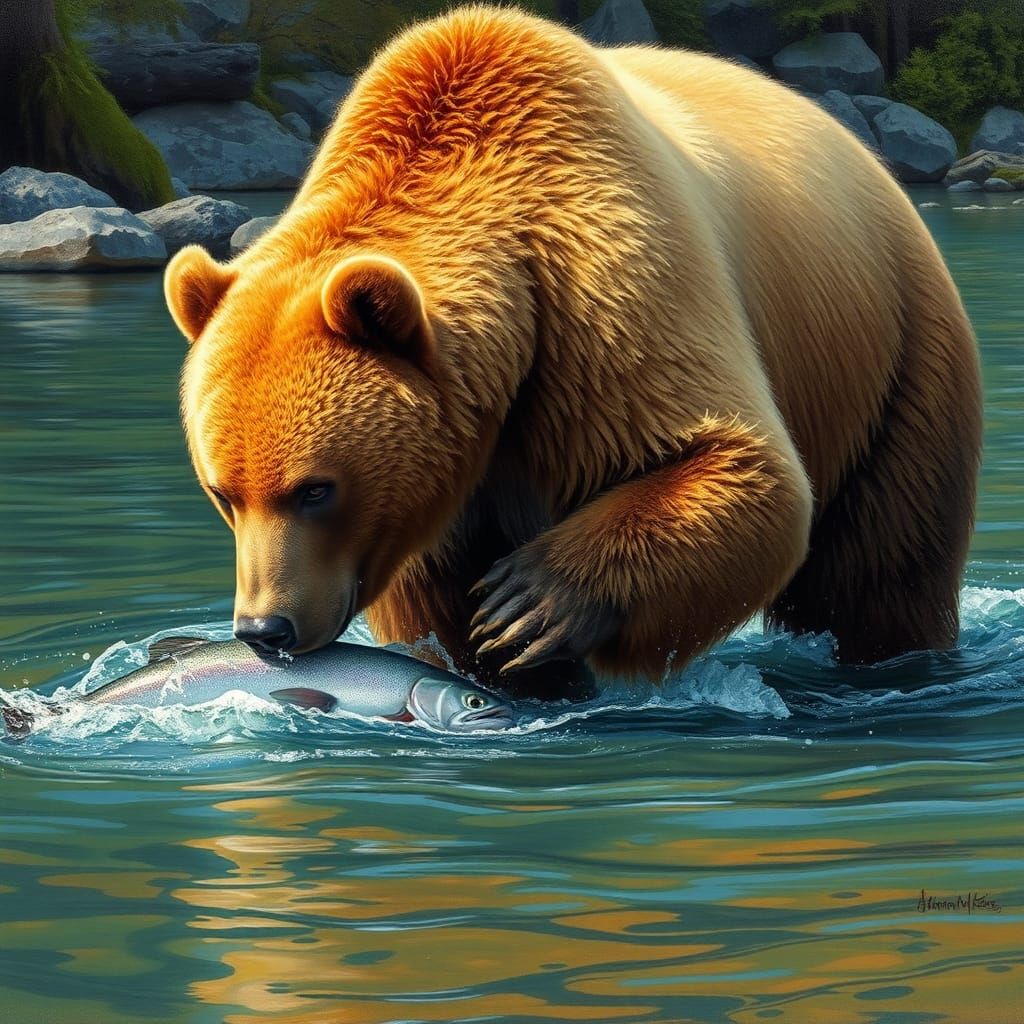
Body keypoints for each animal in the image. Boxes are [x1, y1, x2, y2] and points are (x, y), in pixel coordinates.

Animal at [165, 4, 981, 699]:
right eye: (222, 492)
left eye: (315, 489)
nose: (265, 628)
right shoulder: (442, 471)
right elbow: (440, 598)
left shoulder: (604, 299)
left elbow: (742, 468)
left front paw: (527, 603)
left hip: (893, 356)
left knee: (881, 571)